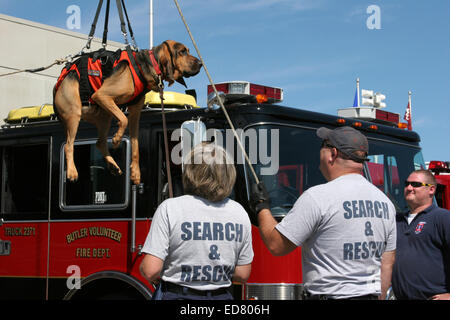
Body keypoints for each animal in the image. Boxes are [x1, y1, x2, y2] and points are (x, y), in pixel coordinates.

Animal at [53, 40, 202, 185]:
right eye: (182, 52)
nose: (201, 63)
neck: (146, 64)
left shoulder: (135, 114)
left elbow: (135, 145)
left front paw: (135, 173)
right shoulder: (101, 95)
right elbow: (123, 119)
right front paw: (117, 138)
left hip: (104, 115)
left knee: (99, 142)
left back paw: (113, 165)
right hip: (75, 112)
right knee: (68, 145)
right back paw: (72, 171)